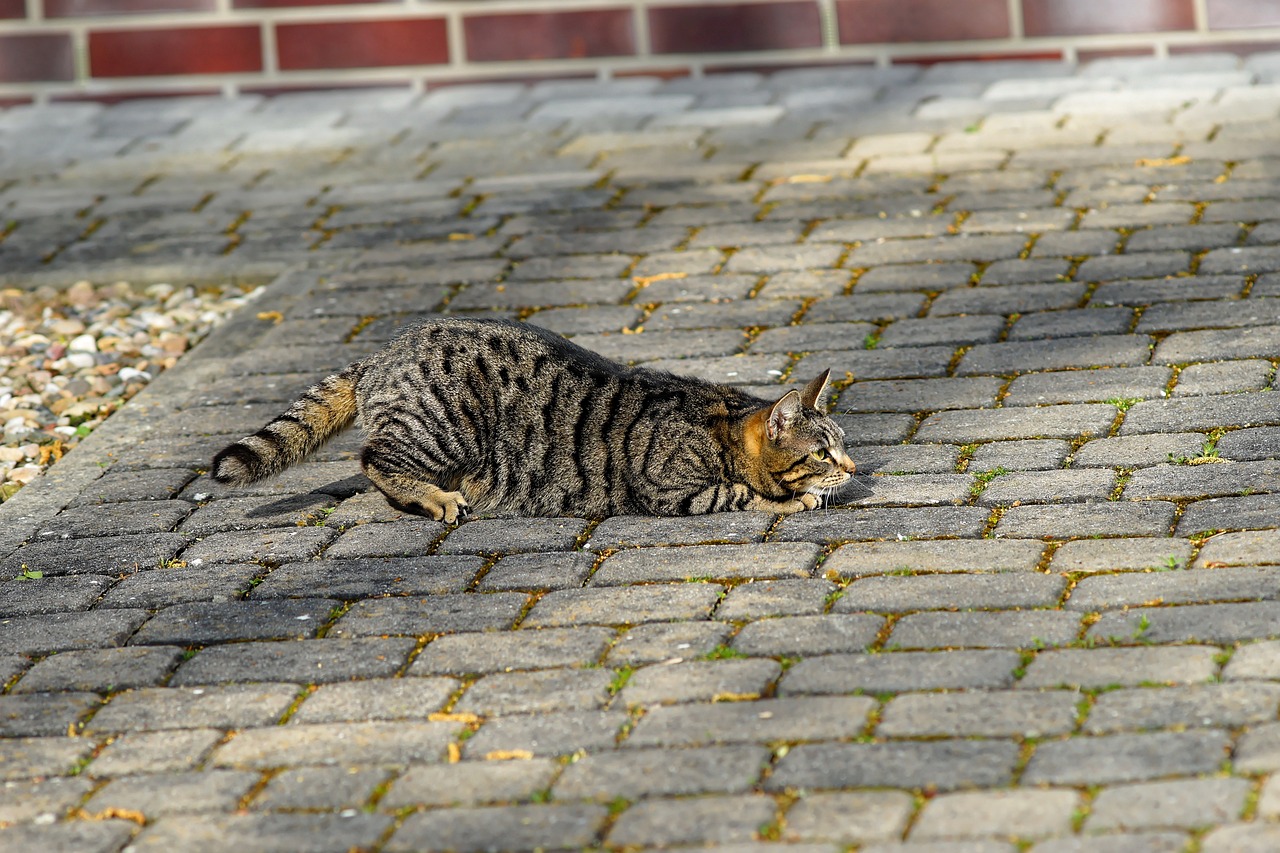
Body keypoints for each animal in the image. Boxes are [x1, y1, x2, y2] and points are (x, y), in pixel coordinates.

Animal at [209, 315, 855, 517]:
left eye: (843, 443)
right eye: (823, 452)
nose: (852, 467)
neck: (717, 422)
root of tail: (382, 352)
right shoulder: (669, 488)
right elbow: (741, 493)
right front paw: (792, 497)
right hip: (448, 429)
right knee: (373, 457)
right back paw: (435, 497)